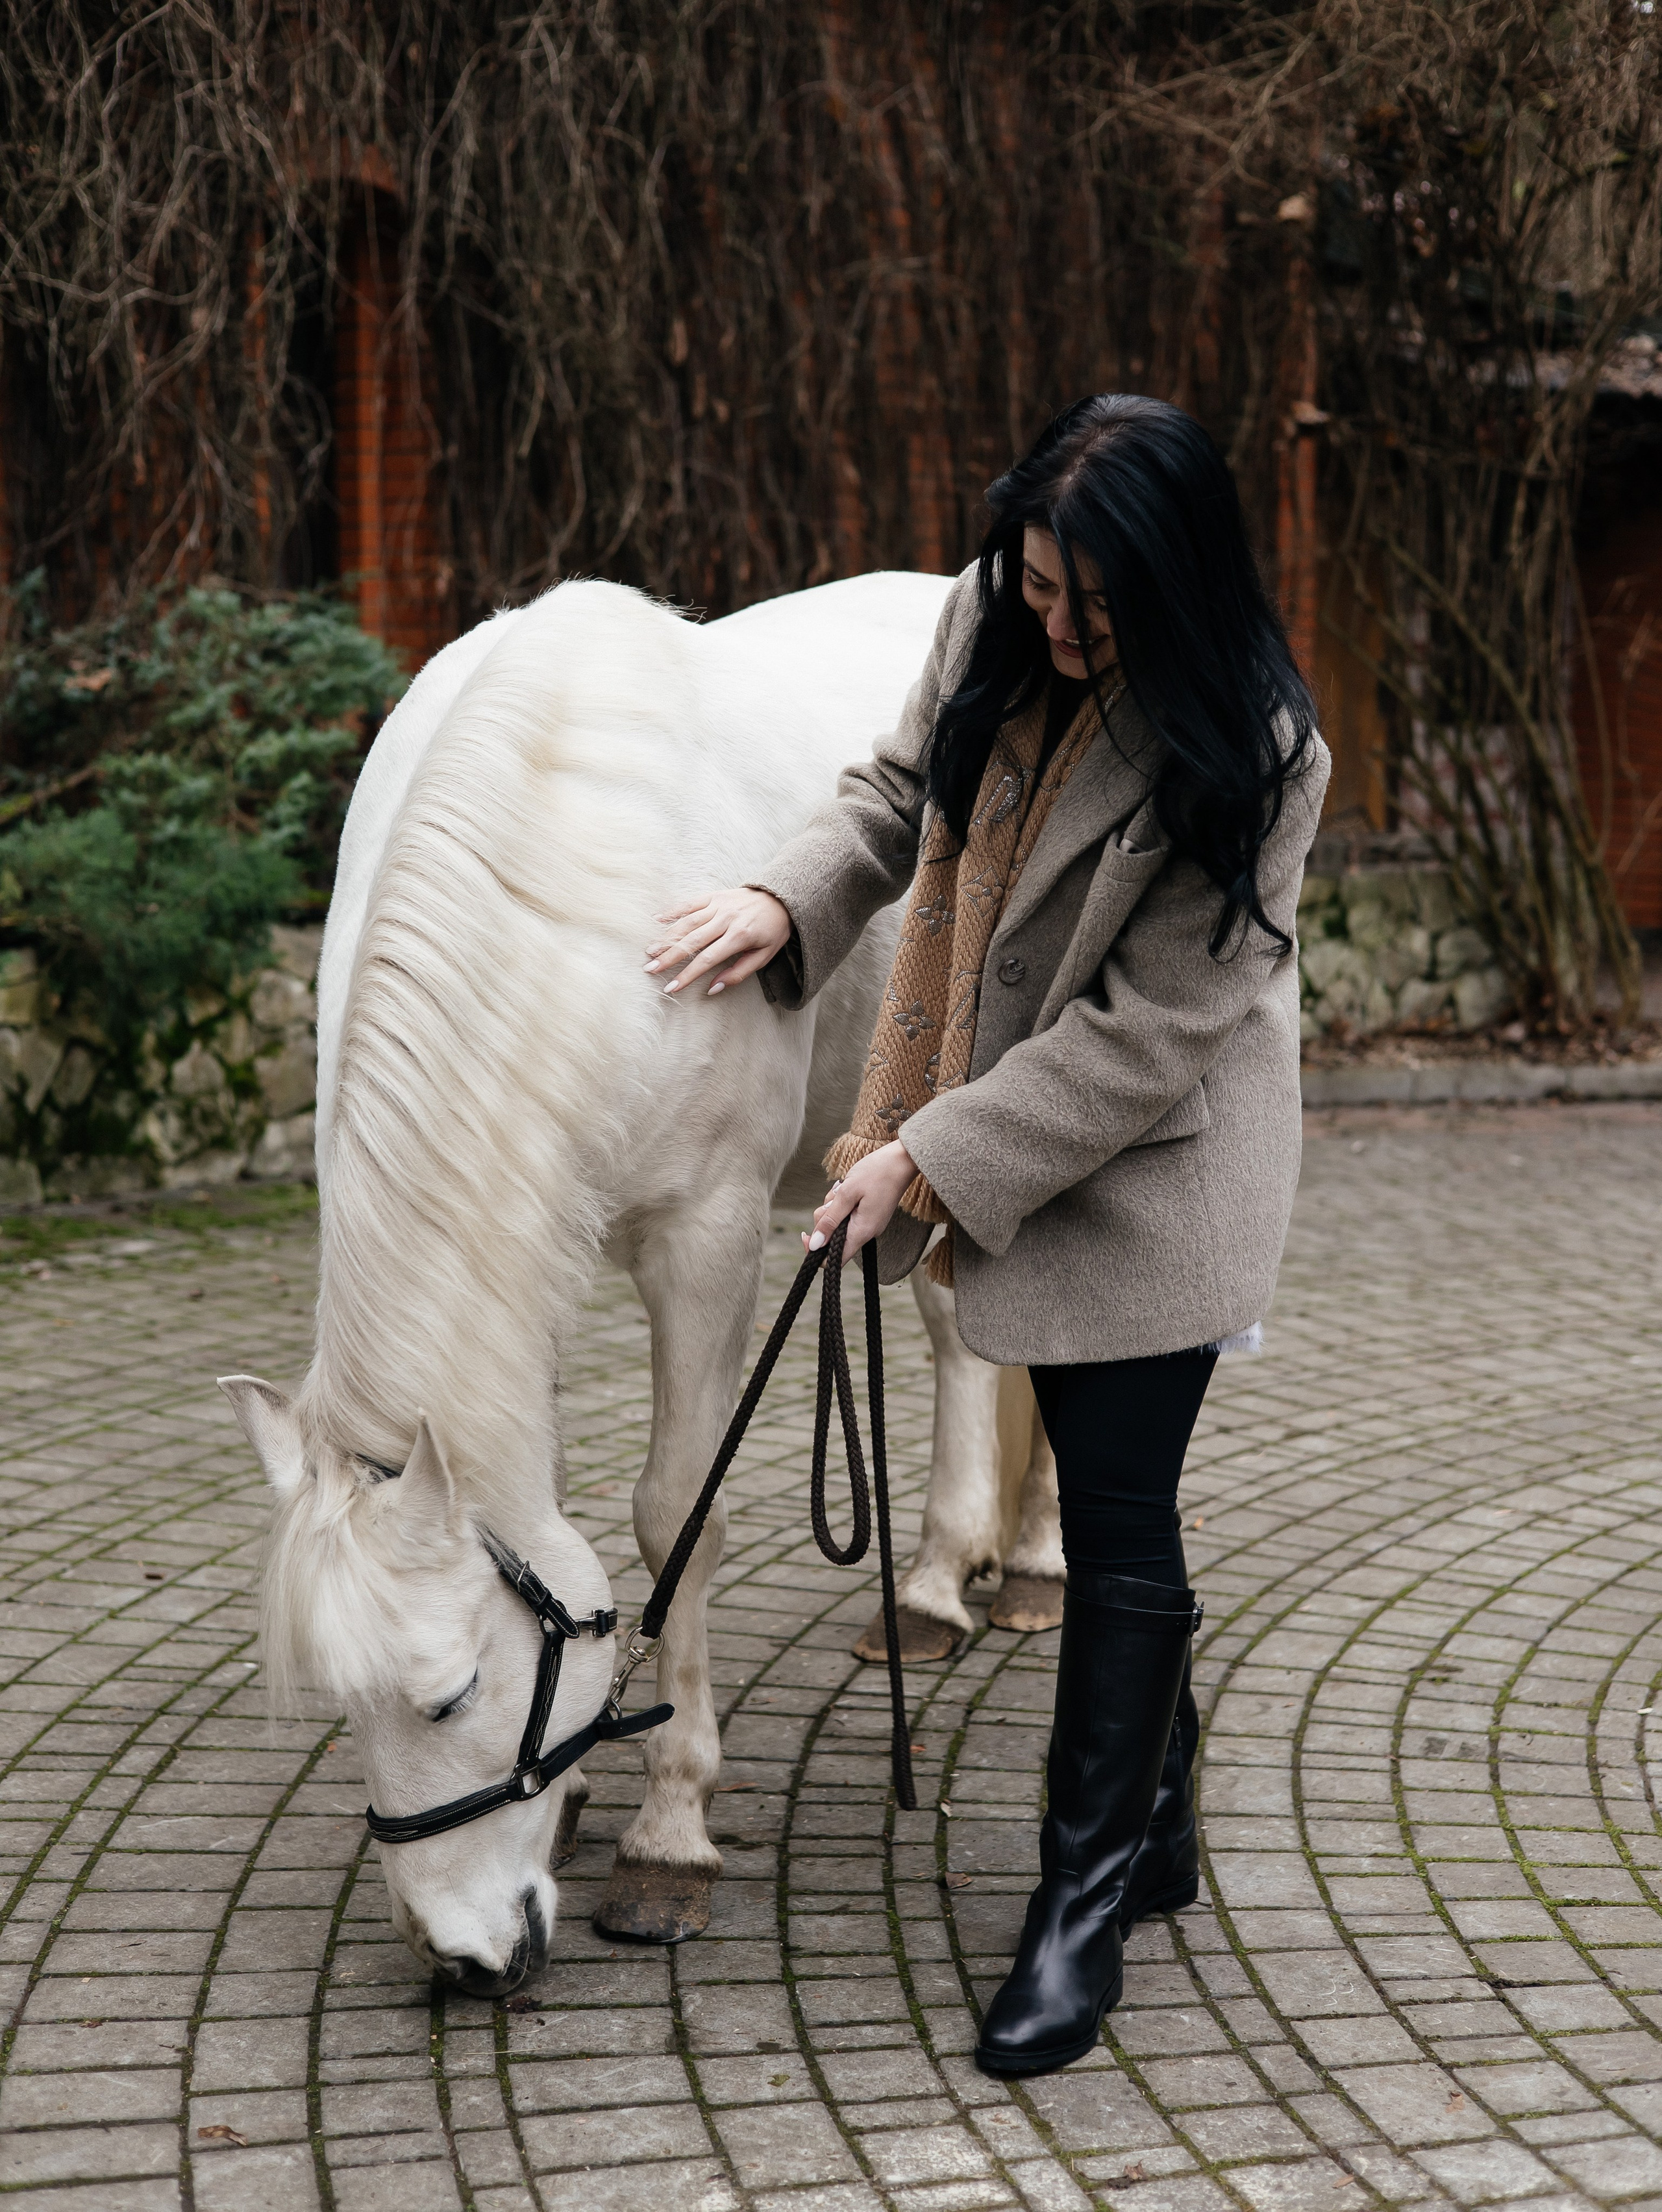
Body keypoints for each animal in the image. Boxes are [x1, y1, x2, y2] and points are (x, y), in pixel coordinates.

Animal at [219, 570, 1062, 1993]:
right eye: (346, 1705)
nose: (463, 1957)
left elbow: (680, 1517)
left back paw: (1030, 1563)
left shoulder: (705, 1238)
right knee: (955, 1331)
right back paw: (937, 1584)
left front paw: (668, 1831)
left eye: (449, 1694)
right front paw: (573, 1786)